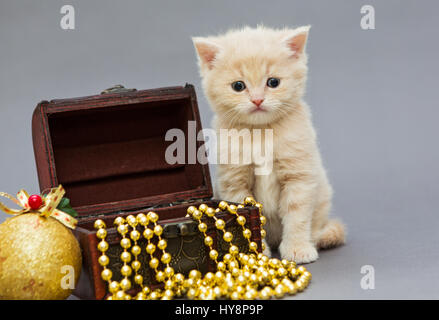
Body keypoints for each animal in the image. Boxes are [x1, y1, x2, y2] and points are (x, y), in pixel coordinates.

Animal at [194, 26, 346, 262]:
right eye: (238, 86)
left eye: (273, 82)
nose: (257, 100)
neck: (261, 133)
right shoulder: (234, 181)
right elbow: (249, 219)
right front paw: (256, 251)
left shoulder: (299, 177)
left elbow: (297, 215)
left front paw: (297, 248)